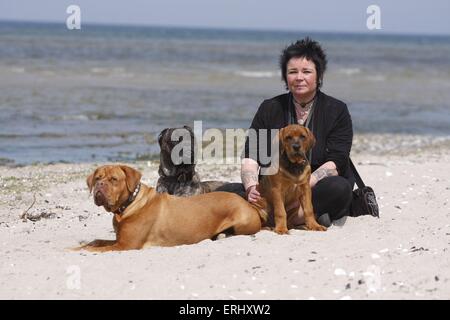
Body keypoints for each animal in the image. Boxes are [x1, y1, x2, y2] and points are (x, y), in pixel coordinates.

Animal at [78, 165, 268, 252]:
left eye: (114, 179)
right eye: (97, 178)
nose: (100, 185)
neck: (129, 205)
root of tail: (248, 203)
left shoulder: (126, 245)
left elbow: (92, 249)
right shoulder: (119, 241)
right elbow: (95, 241)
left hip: (242, 221)